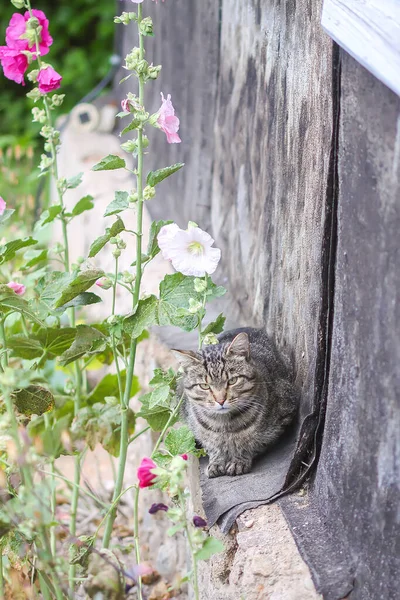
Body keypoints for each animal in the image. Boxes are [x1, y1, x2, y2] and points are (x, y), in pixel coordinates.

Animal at [173, 328, 298, 478]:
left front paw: (239, 460)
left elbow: (252, 444)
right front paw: (216, 462)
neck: (225, 424)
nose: (220, 400)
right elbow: (213, 446)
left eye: (232, 381)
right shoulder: (197, 429)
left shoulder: (283, 416)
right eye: (204, 386)